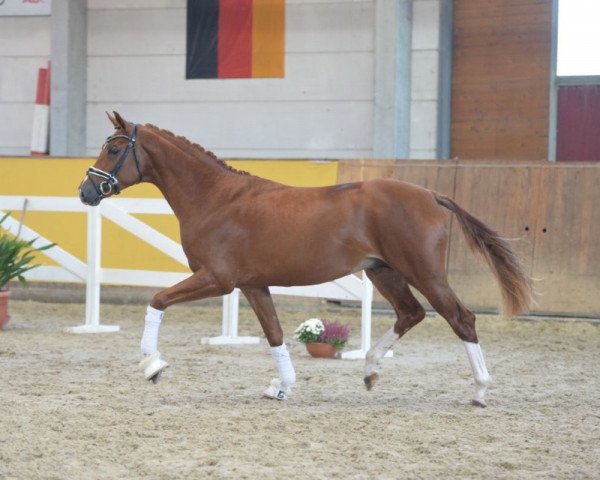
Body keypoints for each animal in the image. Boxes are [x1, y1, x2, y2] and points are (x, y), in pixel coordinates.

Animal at [77, 112, 532, 404]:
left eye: (114, 149)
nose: (86, 192)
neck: (216, 199)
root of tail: (431, 195)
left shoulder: (218, 279)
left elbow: (157, 300)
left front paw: (152, 365)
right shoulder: (252, 284)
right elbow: (276, 335)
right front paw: (282, 387)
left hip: (423, 271)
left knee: (460, 319)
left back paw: (480, 391)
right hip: (384, 272)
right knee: (410, 313)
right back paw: (370, 370)